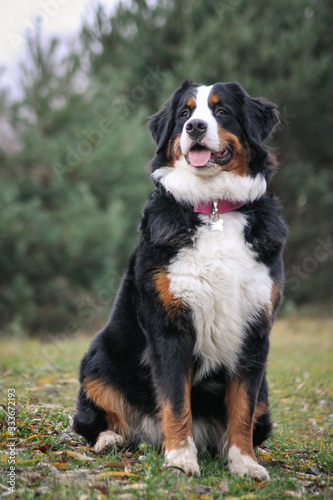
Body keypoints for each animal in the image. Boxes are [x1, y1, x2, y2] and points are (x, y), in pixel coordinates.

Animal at [73, 79, 286, 480]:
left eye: (221, 111)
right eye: (185, 113)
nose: (195, 127)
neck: (214, 209)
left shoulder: (254, 331)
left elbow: (243, 409)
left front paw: (245, 462)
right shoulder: (169, 328)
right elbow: (175, 400)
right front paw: (181, 458)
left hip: (268, 396)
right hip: (99, 359)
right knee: (92, 420)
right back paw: (110, 439)